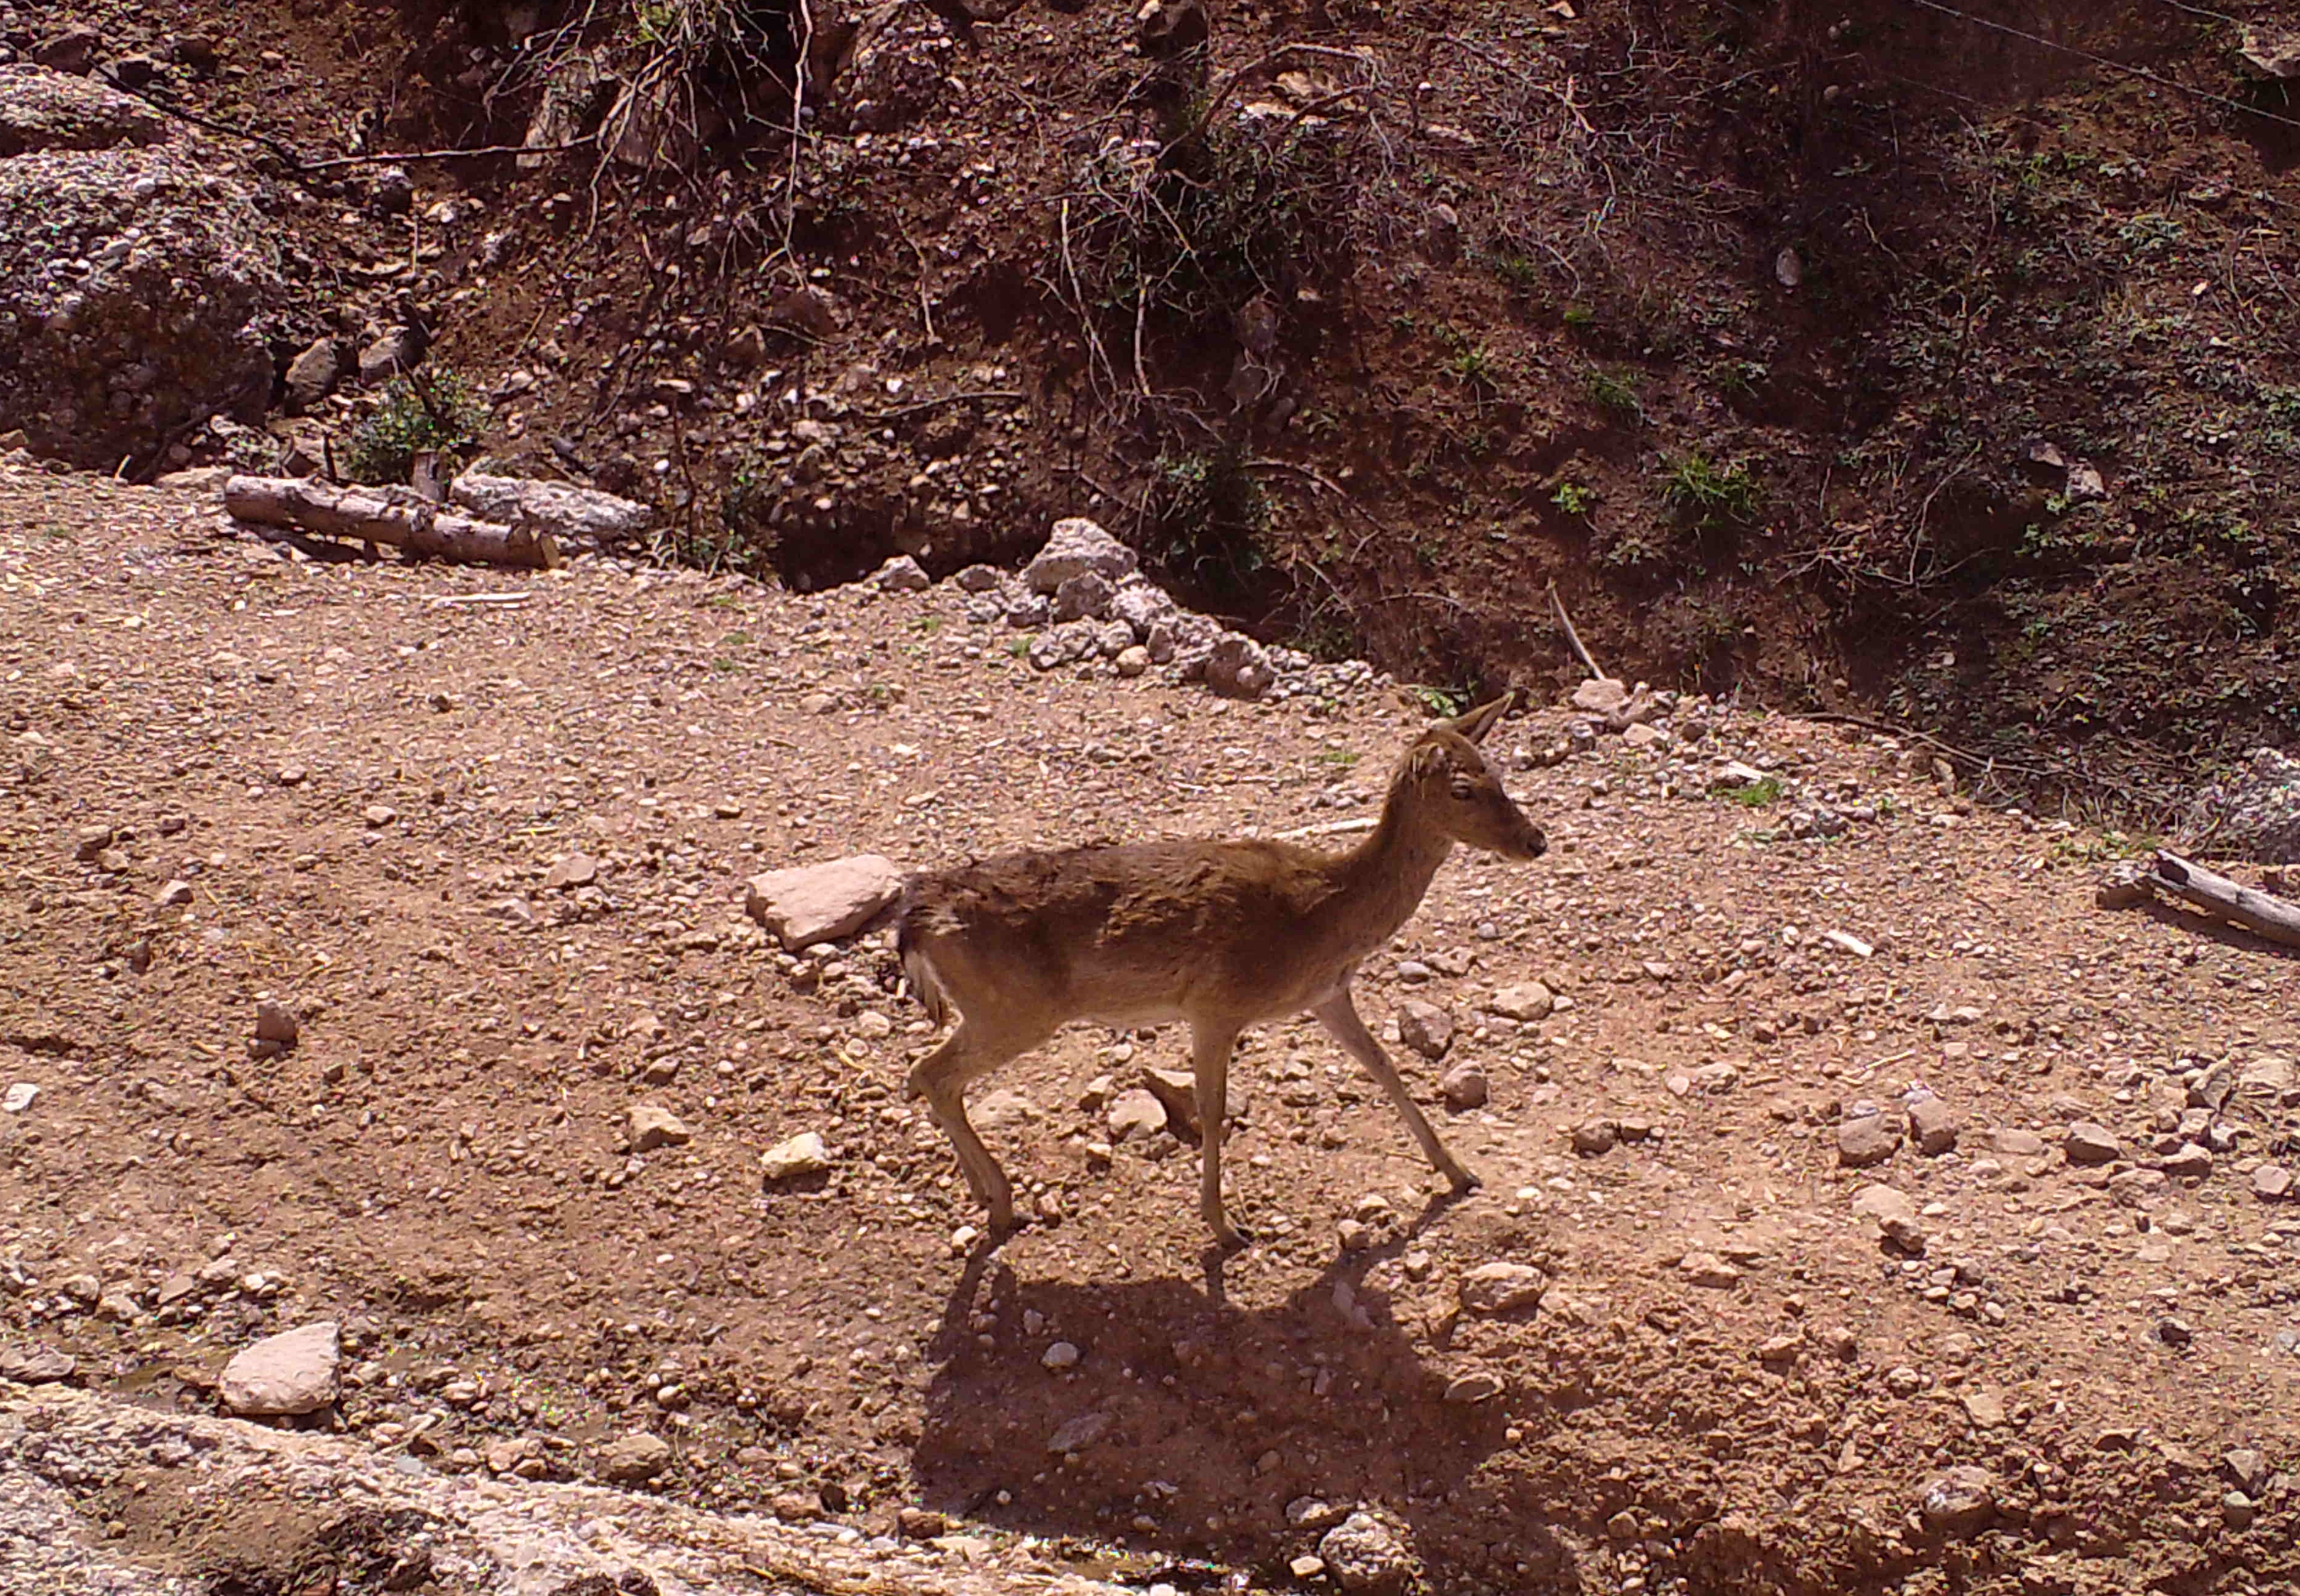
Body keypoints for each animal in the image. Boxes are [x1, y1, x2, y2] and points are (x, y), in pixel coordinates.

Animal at [892, 694, 1545, 1260]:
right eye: (1462, 789)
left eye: (1499, 774)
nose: (1535, 841)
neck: (1324, 912)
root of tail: (915, 920)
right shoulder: (1215, 1004)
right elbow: (1213, 1109)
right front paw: (1224, 1227)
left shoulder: (1327, 994)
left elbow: (1384, 1067)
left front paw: (1458, 1172)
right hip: (1013, 1008)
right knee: (931, 1072)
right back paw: (1003, 1203)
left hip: (997, 1010)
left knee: (929, 1075)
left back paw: (985, 1196)